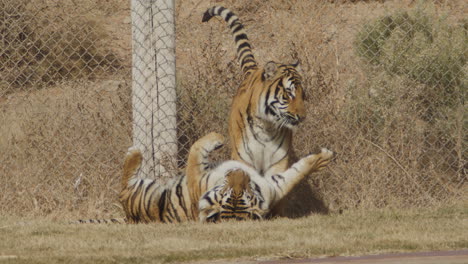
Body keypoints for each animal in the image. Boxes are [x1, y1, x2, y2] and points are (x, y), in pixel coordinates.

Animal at [202, 6, 314, 217]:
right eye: (289, 94)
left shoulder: (278, 161)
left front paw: (276, 216)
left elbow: (277, 187)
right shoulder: (244, 159)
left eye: (303, 94)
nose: (302, 117)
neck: (267, 126)